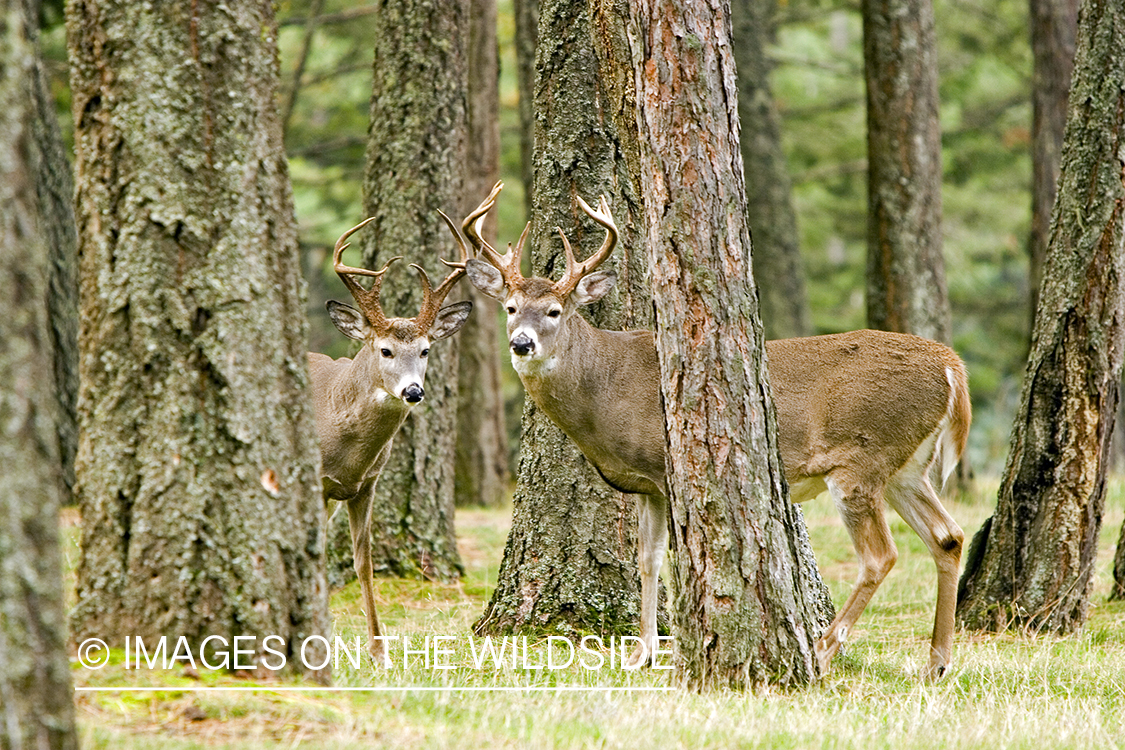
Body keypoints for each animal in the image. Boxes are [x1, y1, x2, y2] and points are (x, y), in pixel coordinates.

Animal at [310, 191, 499, 661]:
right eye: (385, 350)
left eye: (427, 349)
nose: (413, 391)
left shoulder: (365, 485)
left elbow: (363, 562)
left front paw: (379, 651)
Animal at [461, 183, 972, 679]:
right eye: (510, 307)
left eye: (553, 311)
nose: (521, 343)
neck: (605, 388)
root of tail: (952, 367)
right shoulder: (648, 486)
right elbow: (646, 561)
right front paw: (641, 654)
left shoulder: (664, 465)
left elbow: (673, 561)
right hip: (906, 468)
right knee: (948, 536)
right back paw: (937, 664)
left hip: (861, 459)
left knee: (880, 556)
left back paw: (823, 653)